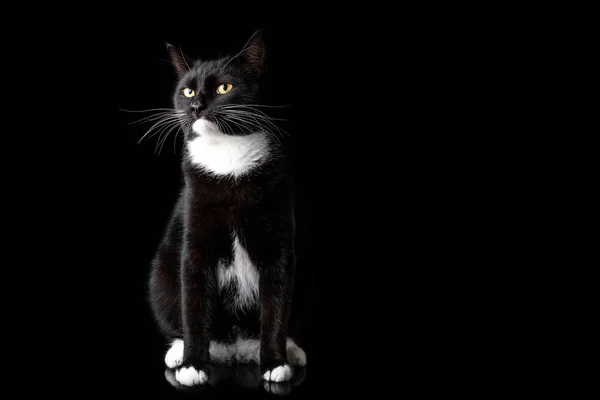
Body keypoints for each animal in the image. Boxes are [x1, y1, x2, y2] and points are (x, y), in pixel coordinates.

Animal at [145, 29, 304, 386]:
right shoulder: (195, 229)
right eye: (187, 90)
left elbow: (276, 299)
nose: (195, 105)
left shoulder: (278, 236)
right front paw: (193, 364)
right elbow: (193, 297)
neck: (228, 159)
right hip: (161, 274)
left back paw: (289, 349)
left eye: (224, 88)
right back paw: (179, 351)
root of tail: (233, 347)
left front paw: (275, 362)